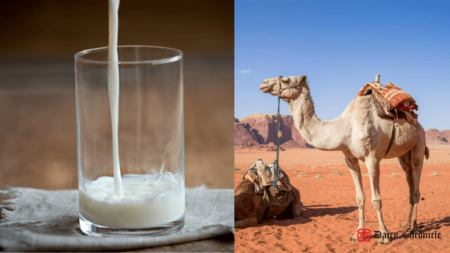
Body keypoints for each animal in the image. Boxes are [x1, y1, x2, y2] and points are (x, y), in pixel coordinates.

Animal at [258, 75, 428, 245]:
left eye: (286, 80)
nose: (263, 83)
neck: (345, 128)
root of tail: (417, 122)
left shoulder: (372, 158)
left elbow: (376, 199)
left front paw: (384, 237)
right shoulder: (350, 159)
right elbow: (360, 198)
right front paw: (357, 234)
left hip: (419, 144)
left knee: (416, 186)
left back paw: (414, 228)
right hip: (403, 154)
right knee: (409, 180)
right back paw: (405, 223)